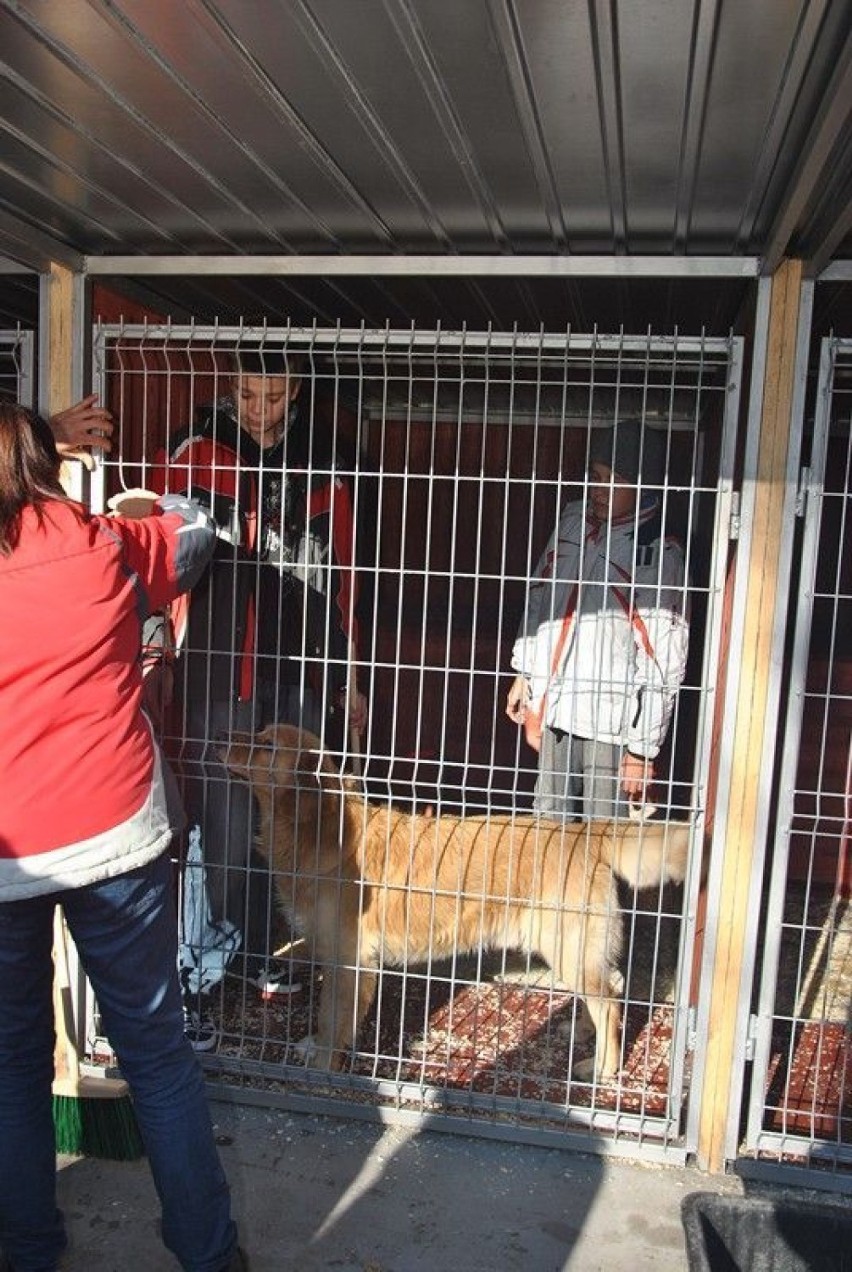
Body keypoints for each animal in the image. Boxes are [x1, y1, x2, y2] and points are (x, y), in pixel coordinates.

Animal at [222, 727, 691, 1073]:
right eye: (260, 732)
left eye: (267, 745)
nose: (224, 737)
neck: (319, 828)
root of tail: (583, 832)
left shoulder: (349, 962)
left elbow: (332, 1018)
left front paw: (322, 1063)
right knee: (607, 990)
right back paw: (579, 1032)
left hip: (569, 946)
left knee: (609, 1004)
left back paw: (601, 1068)